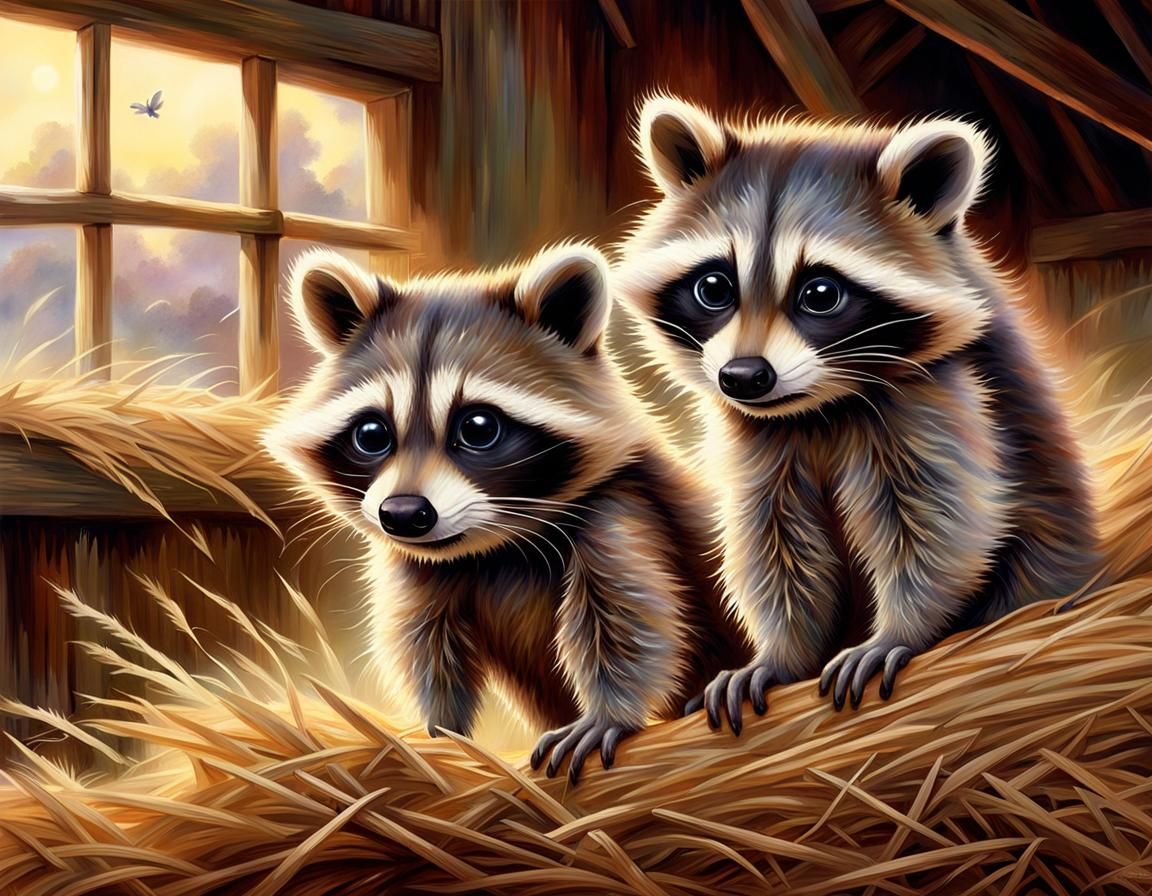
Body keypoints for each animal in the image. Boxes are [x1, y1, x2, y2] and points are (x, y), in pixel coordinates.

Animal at [264, 243, 747, 782]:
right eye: (372, 435)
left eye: (478, 428)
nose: (404, 514)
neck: (494, 544)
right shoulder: (420, 566)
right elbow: (425, 644)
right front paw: (438, 730)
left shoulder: (621, 508)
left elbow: (631, 618)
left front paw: (611, 713)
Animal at [613, 96, 1099, 733]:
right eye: (714, 287)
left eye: (821, 294)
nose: (743, 377)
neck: (818, 406)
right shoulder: (759, 438)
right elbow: (774, 539)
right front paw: (781, 654)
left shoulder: (942, 394)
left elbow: (942, 523)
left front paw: (903, 629)